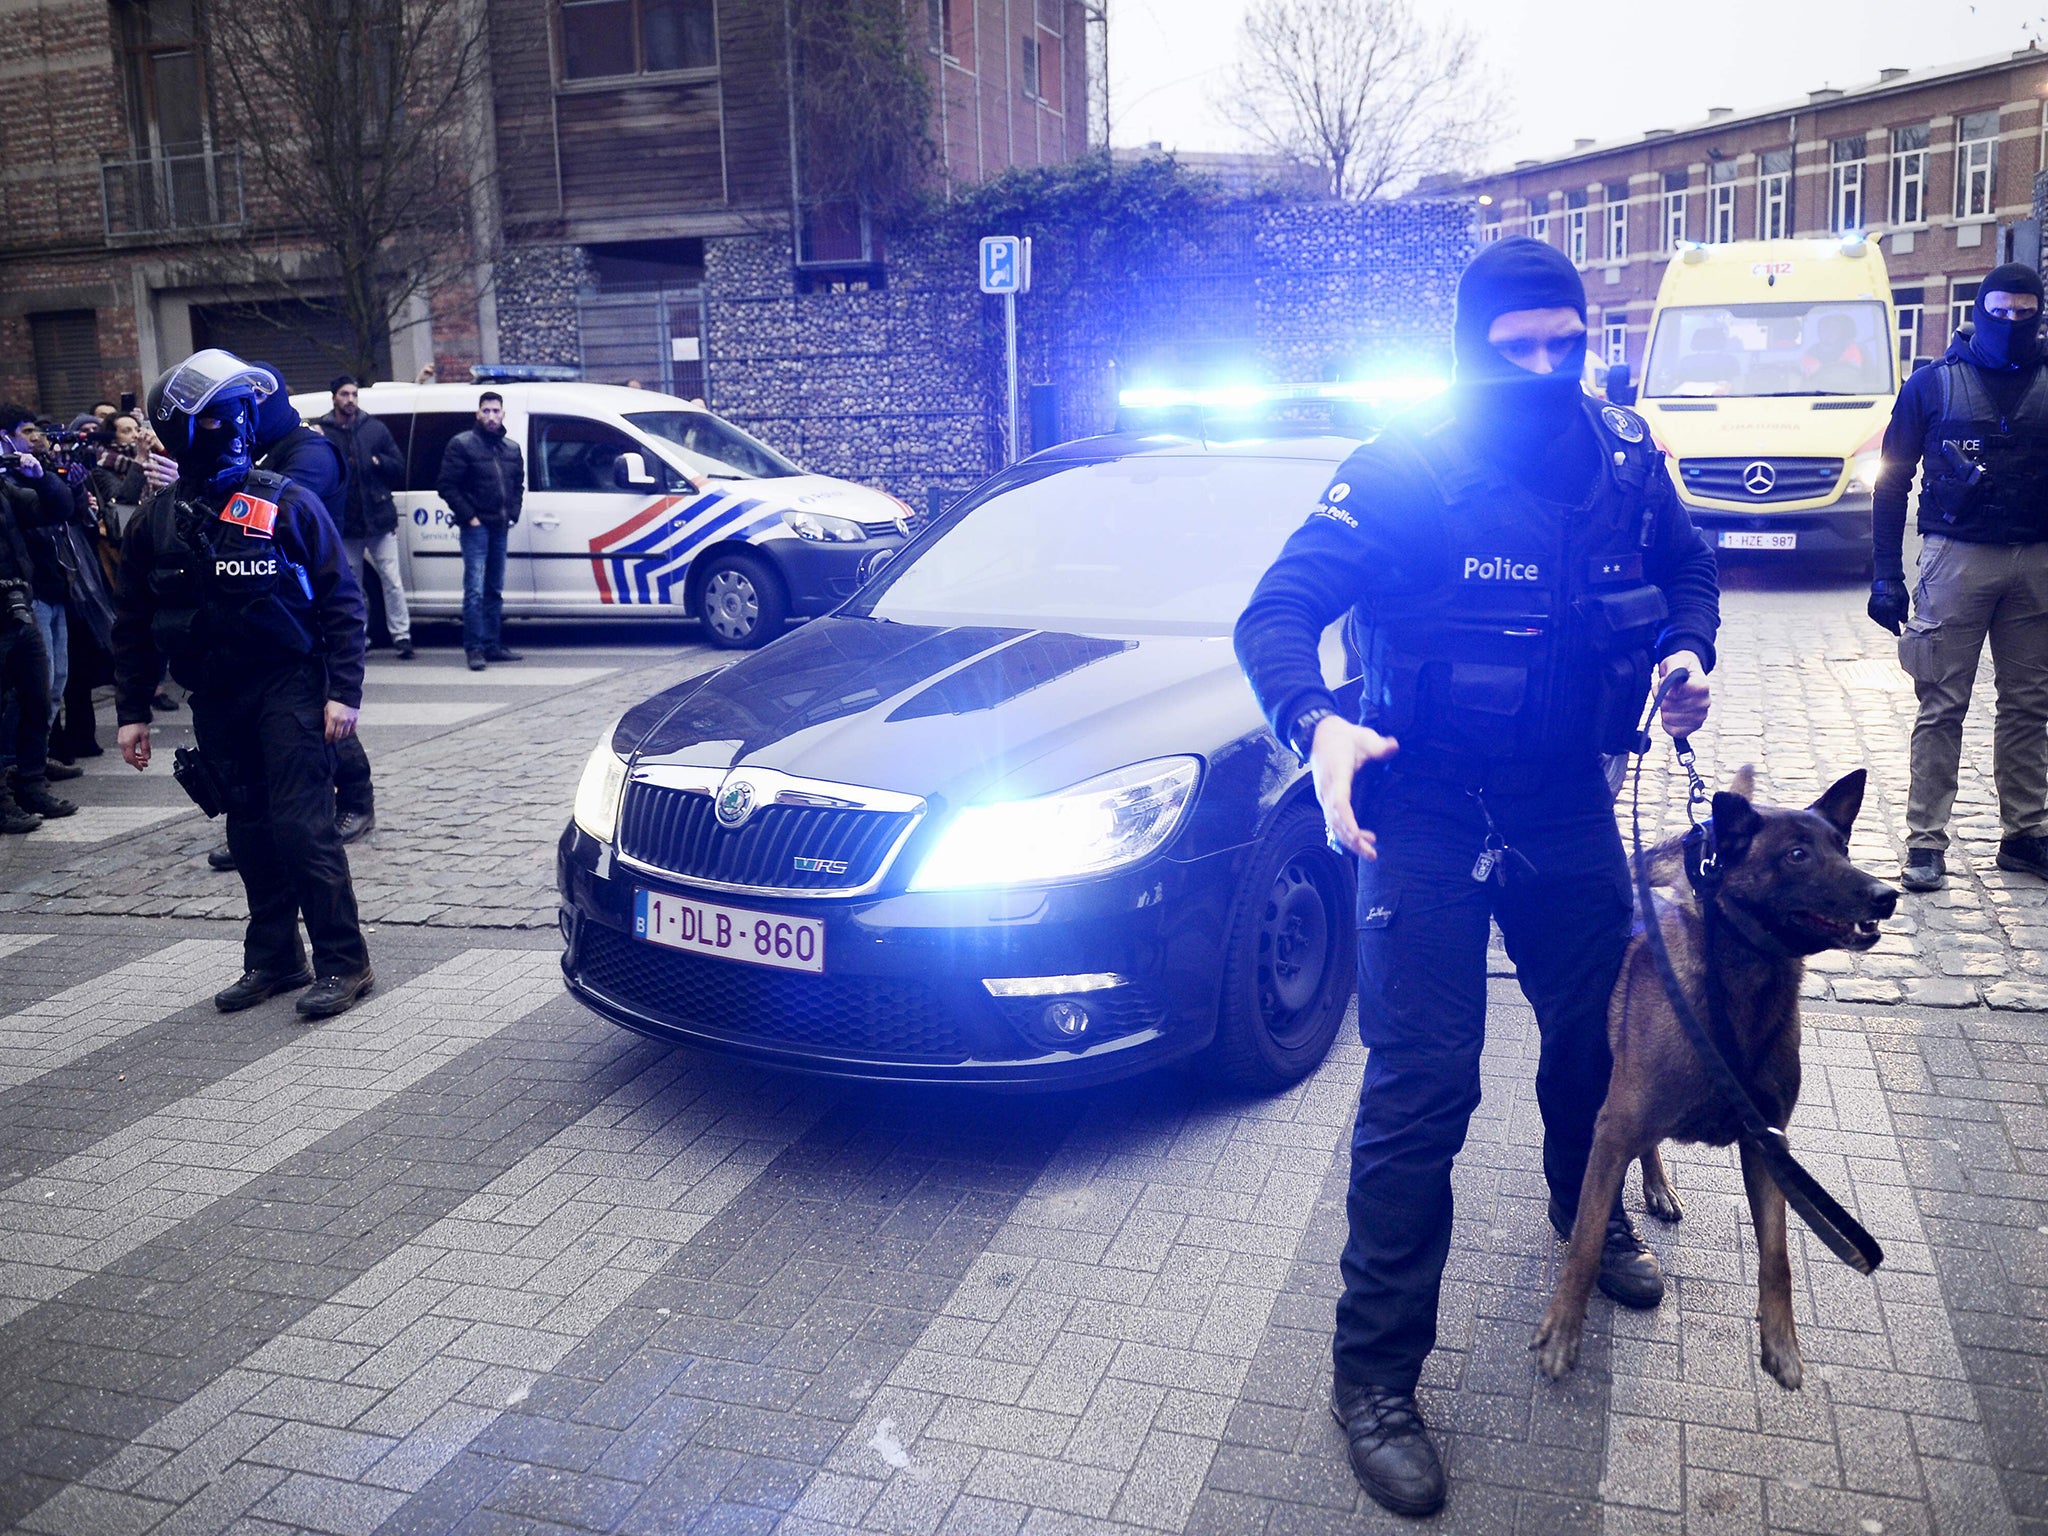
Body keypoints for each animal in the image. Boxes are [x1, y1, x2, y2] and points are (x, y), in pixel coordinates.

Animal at [1540, 770, 1884, 1392]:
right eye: (1797, 855)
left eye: (1843, 848)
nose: (1885, 895)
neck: (1739, 996)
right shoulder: (1613, 1126)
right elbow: (1585, 1239)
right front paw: (1562, 1332)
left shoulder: (1768, 1144)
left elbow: (1778, 1256)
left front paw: (1781, 1343)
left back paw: (1658, 1185)